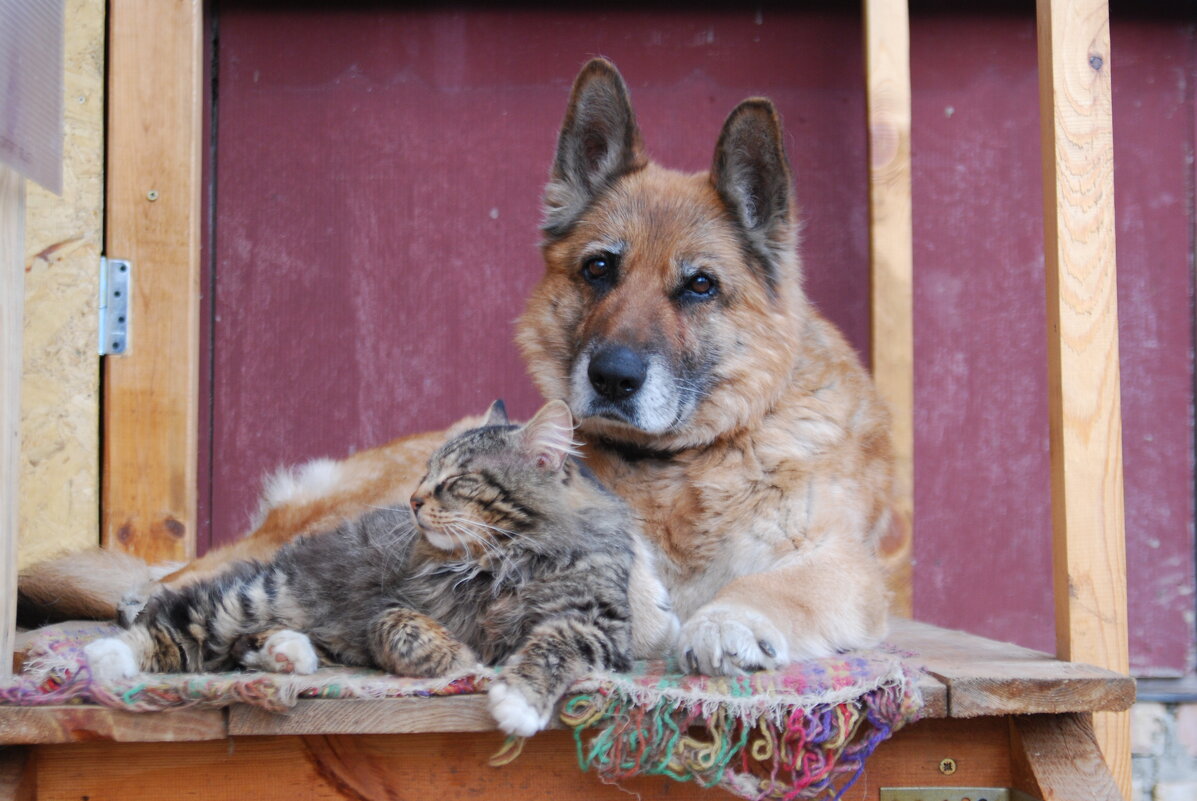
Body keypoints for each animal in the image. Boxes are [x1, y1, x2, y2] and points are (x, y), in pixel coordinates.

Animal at [18, 56, 890, 670]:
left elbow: (774, 581)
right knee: (180, 587)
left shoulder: (840, 562)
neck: (675, 466)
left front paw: (725, 617)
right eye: (599, 270)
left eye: (700, 286)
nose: (611, 378)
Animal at [86, 399, 675, 737]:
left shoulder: (596, 620)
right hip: (289, 557)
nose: (416, 500)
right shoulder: (398, 594)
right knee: (200, 590)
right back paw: (116, 642)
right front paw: (457, 661)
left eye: (459, 481)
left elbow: (554, 646)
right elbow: (406, 627)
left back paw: (284, 649)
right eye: (431, 477)